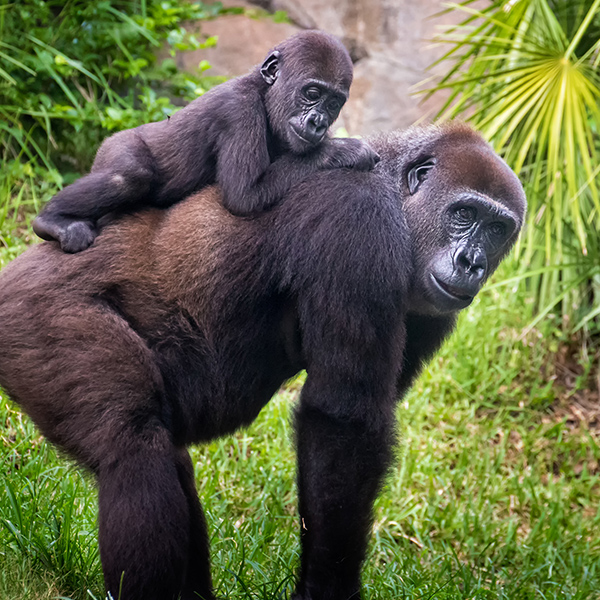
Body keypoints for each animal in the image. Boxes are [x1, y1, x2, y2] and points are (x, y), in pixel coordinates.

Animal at [0, 123, 524, 600]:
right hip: (32, 317)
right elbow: (342, 423)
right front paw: (325, 588)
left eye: (497, 229)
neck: (398, 192)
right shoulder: (360, 217)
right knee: (132, 447)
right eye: (463, 213)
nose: (472, 262)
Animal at [34, 29, 376, 253]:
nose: (318, 122)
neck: (265, 93)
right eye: (312, 93)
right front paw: (345, 150)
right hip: (115, 146)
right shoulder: (238, 111)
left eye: (333, 104)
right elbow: (244, 196)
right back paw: (50, 221)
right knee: (128, 176)